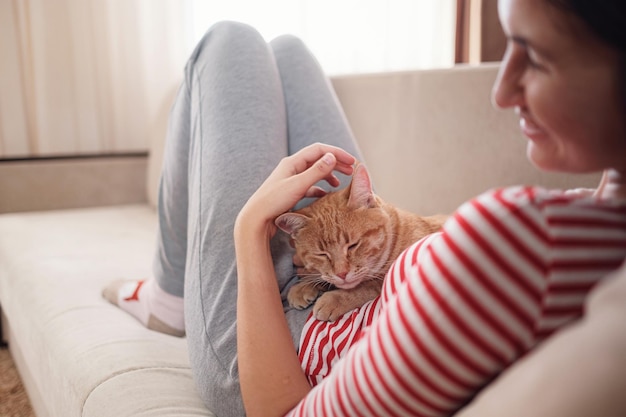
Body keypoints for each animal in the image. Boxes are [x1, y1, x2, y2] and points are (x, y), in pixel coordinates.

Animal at [276, 164, 446, 320]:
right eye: (321, 254)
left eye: (353, 245)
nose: (342, 274)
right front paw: (303, 286)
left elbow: (370, 285)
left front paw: (335, 298)